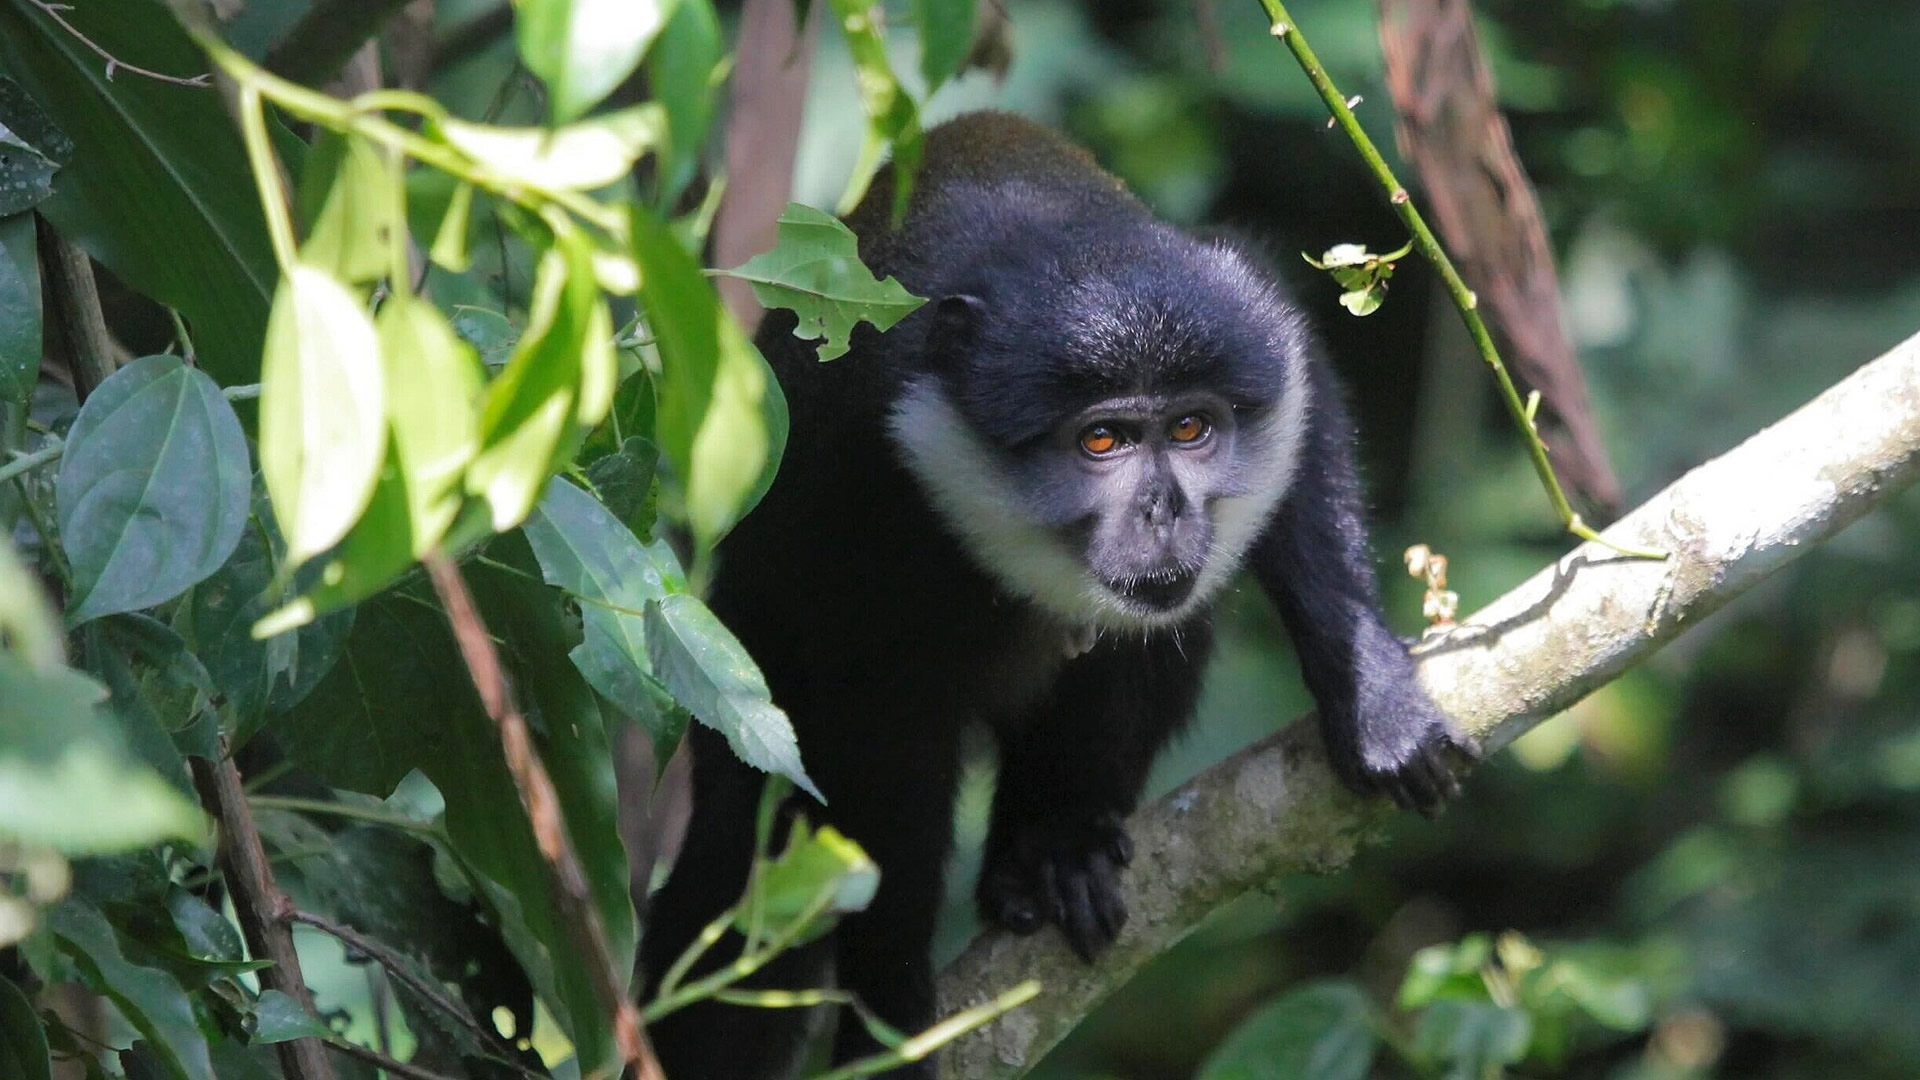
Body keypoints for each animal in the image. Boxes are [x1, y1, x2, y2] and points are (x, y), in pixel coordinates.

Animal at [641, 111, 1466, 1076]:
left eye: (1192, 428)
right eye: (1102, 440)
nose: (1162, 509)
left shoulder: (1250, 323)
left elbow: (1306, 405)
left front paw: (1372, 697)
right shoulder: (856, 456)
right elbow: (878, 757)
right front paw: (890, 1017)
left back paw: (1048, 853)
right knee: (737, 853)